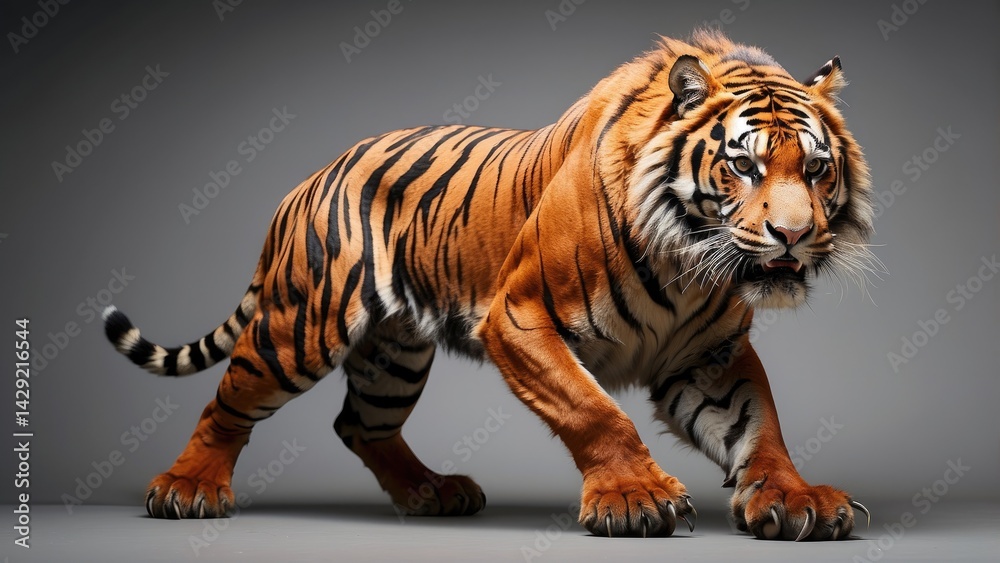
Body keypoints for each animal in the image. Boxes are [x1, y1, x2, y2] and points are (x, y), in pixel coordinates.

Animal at [104, 29, 877, 540]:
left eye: (815, 169)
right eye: (745, 166)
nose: (792, 234)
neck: (686, 260)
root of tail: (311, 178)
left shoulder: (709, 356)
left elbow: (760, 428)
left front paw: (797, 498)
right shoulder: (521, 315)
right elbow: (595, 412)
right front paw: (634, 497)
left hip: (392, 356)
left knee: (360, 423)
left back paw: (431, 491)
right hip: (300, 329)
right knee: (228, 400)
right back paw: (187, 489)